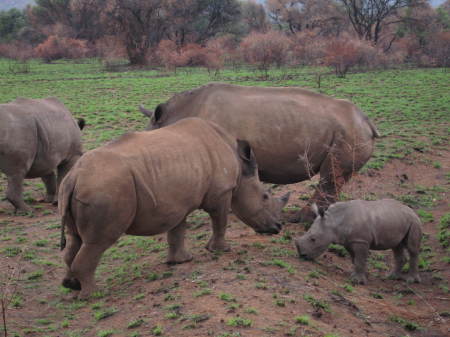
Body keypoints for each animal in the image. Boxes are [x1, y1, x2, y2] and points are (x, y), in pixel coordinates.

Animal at [59, 116, 288, 296]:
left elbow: (177, 231)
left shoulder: (178, 203)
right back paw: (93, 295)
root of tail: (75, 177)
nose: (278, 227)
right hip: (104, 189)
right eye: (265, 197)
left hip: (81, 189)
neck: (240, 166)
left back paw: (72, 286)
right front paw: (221, 250)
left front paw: (181, 261)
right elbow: (220, 221)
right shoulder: (221, 194)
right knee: (98, 242)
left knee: (75, 239)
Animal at [140, 82, 380, 222]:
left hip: (349, 131)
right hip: (348, 130)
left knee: (330, 176)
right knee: (333, 178)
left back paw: (301, 220)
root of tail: (368, 122)